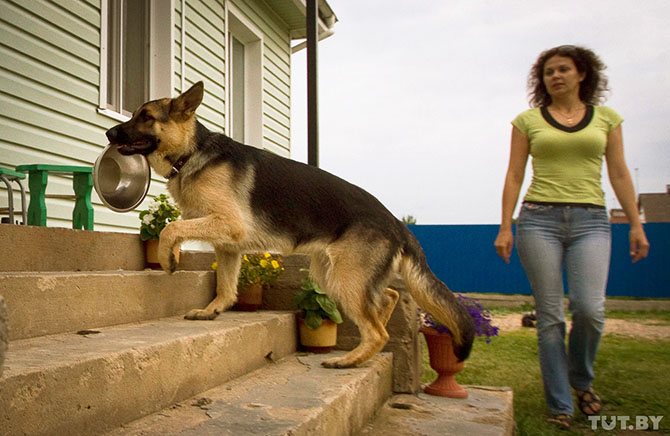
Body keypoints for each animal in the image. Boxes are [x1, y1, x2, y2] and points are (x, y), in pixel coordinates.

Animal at [107, 82, 476, 368]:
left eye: (146, 117)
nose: (109, 132)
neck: (191, 153)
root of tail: (398, 225)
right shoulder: (228, 246)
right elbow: (225, 286)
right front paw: (213, 310)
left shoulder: (228, 225)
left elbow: (170, 229)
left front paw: (169, 258)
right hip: (331, 276)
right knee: (387, 296)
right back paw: (363, 350)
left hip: (344, 279)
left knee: (378, 330)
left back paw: (349, 360)